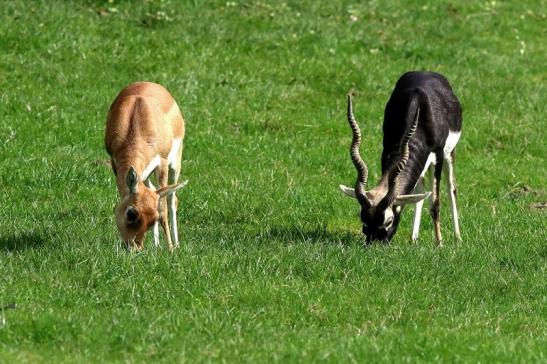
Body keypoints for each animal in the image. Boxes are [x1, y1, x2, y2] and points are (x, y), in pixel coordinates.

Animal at [105, 81, 188, 250]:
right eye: (131, 213)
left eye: (153, 219)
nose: (134, 248)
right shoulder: (114, 162)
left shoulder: (162, 163)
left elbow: (162, 207)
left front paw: (170, 249)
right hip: (146, 174)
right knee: (154, 189)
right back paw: (156, 245)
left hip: (175, 164)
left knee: (172, 199)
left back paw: (176, 244)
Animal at [342, 71, 462, 245]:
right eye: (363, 219)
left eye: (388, 220)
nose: (374, 244)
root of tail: (426, 72)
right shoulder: (386, 151)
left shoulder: (438, 155)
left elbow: (435, 203)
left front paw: (439, 243)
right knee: (420, 191)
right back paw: (414, 238)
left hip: (449, 154)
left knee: (451, 189)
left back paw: (457, 237)